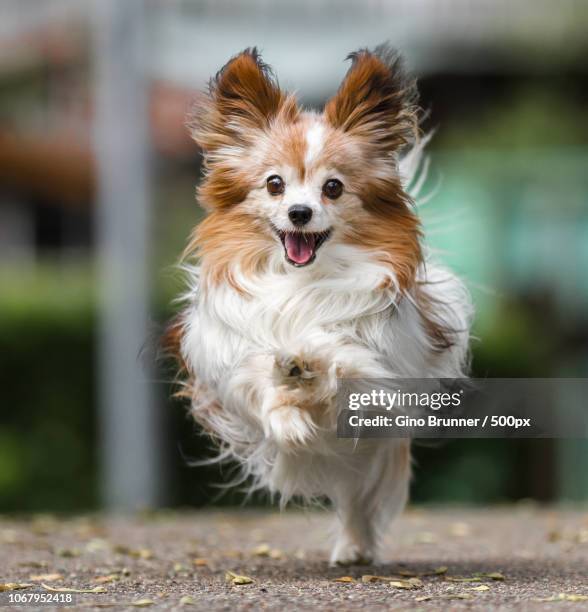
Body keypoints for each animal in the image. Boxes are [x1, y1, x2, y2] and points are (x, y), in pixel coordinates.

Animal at [165, 45, 474, 568]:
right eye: (275, 185)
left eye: (333, 187)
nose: (299, 213)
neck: (301, 282)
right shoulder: (231, 364)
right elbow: (259, 380)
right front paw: (288, 411)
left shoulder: (377, 383)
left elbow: (341, 361)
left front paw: (311, 362)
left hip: (371, 456)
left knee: (357, 500)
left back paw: (354, 545)